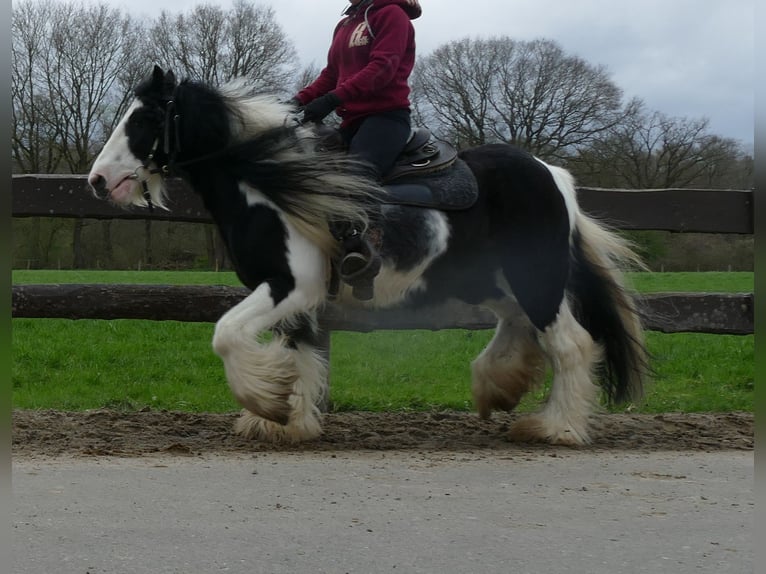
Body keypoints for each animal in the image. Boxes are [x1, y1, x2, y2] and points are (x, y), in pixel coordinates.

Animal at [87, 66, 652, 446]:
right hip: (498, 283)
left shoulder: (291, 285)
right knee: (519, 328)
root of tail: (553, 176)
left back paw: (556, 427)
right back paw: (497, 386)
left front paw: (265, 402)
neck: (267, 182)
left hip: (536, 281)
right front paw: (288, 419)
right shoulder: (296, 297)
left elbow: (226, 335)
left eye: (145, 118)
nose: (97, 181)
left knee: (570, 345)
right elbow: (301, 351)